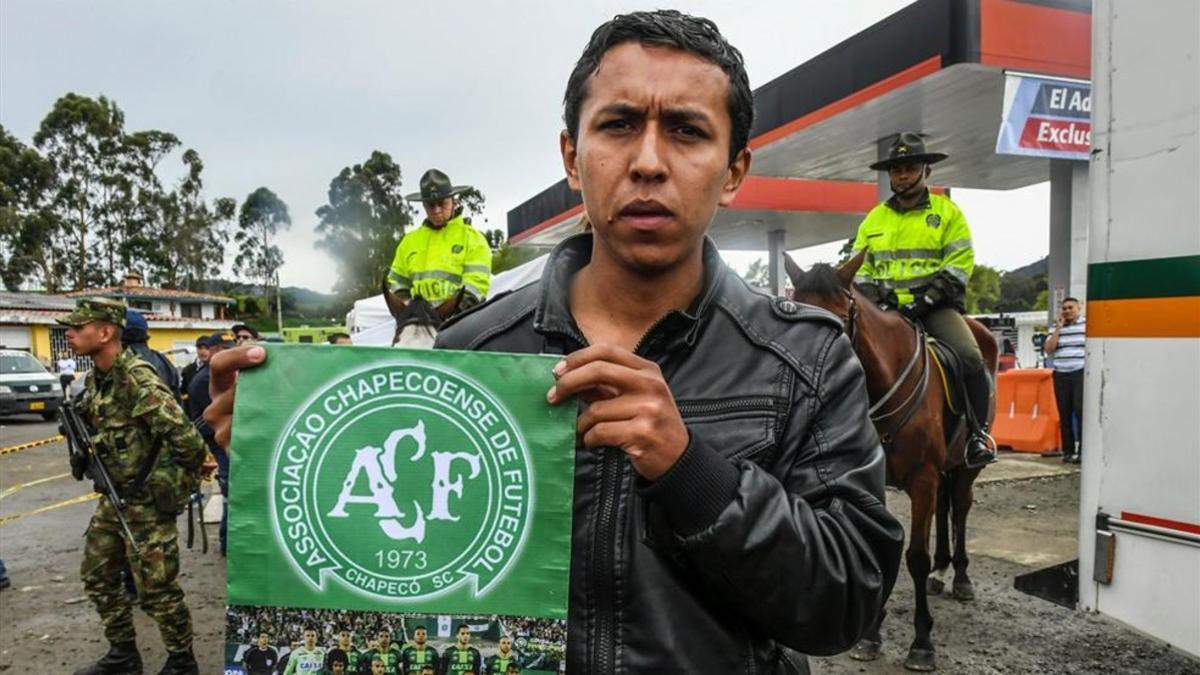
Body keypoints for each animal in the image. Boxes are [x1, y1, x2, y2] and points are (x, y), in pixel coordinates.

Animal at [782, 249, 998, 667]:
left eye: (837, 321)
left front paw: (922, 642)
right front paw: (870, 634)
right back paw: (941, 571)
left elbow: (914, 556)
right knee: (945, 507)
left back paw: (960, 577)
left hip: (966, 465)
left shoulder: (923, 477)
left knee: (961, 507)